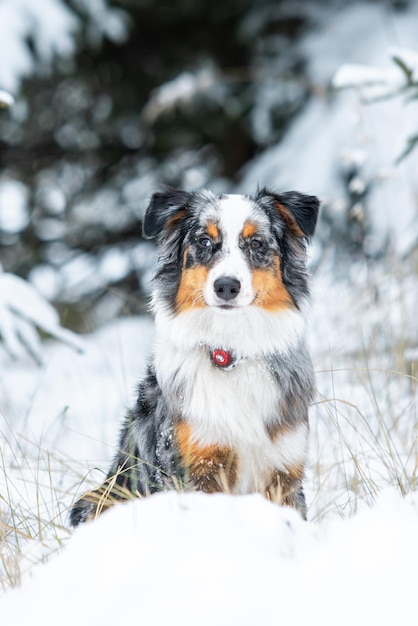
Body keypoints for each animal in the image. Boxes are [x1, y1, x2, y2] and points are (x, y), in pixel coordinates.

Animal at [71, 188, 320, 524]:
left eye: (256, 243)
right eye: (204, 241)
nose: (226, 286)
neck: (229, 352)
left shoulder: (283, 468)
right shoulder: (194, 466)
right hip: (97, 500)